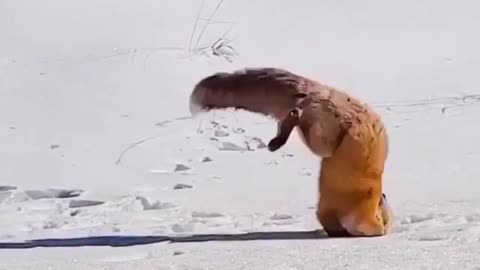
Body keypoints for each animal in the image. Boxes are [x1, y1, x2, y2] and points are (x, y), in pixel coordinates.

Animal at [188, 67, 394, 236]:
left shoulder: (325, 209)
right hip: (325, 142)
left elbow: (329, 224)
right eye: (384, 214)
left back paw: (276, 140)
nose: (383, 201)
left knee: (289, 123)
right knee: (306, 130)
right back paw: (290, 123)